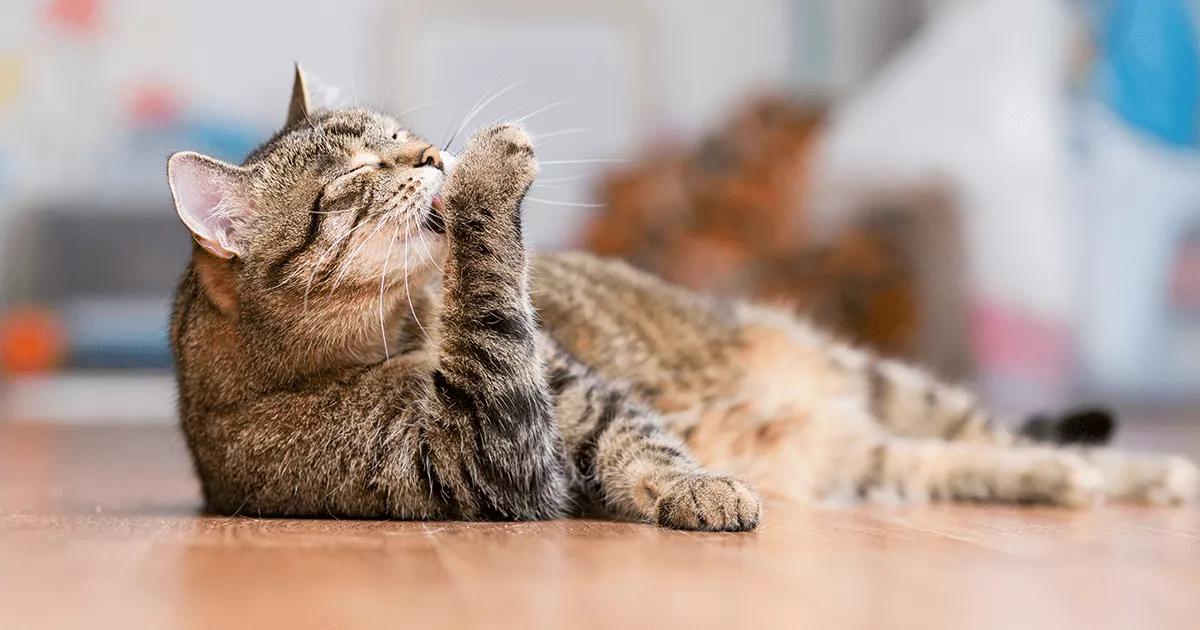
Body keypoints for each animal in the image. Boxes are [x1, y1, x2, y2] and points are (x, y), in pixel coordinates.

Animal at [169, 67, 1200, 530]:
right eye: (358, 176)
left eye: (401, 134)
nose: (431, 156)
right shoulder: (486, 452)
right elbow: (497, 318)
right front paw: (488, 182)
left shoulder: (579, 392)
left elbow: (647, 441)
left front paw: (698, 484)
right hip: (876, 458)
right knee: (963, 461)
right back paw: (1069, 480)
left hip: (888, 384)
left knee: (1005, 438)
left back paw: (1143, 475)